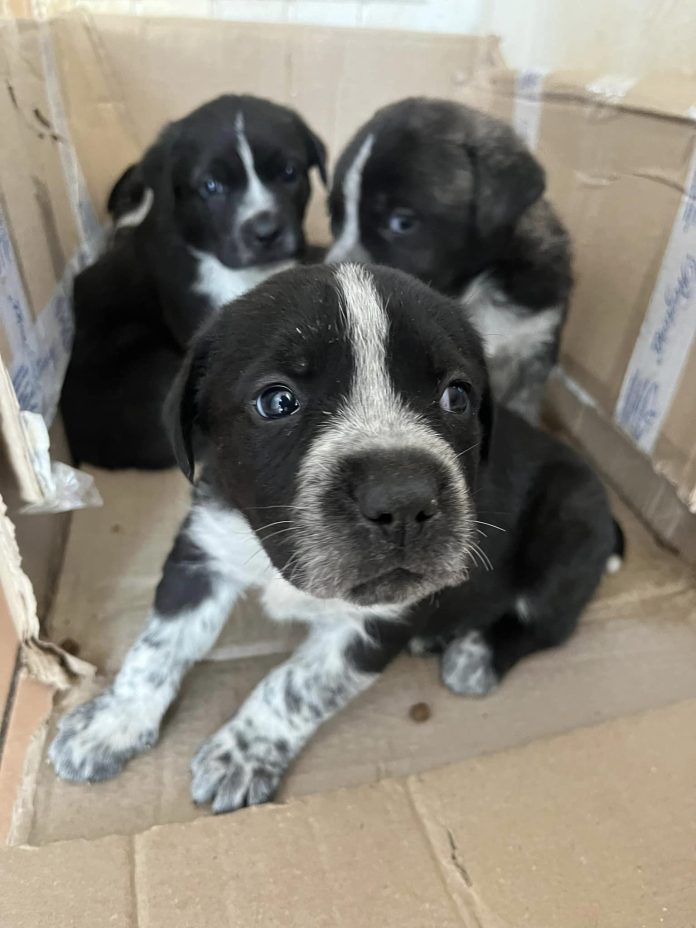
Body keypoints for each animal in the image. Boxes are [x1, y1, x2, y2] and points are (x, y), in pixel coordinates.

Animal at [49, 262, 616, 812]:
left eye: (456, 395)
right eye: (277, 401)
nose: (402, 501)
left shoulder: (379, 621)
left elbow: (294, 685)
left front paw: (243, 752)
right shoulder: (204, 548)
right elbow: (159, 645)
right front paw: (114, 721)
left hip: (569, 527)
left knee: (548, 622)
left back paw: (475, 656)